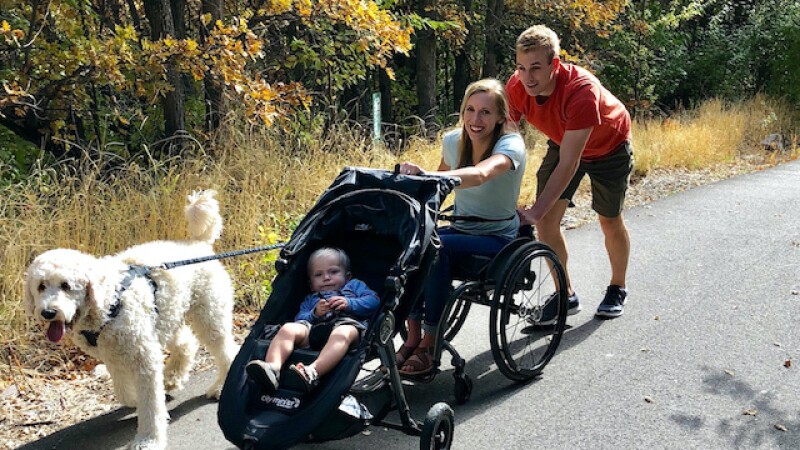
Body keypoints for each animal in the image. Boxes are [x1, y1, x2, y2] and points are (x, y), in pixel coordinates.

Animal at [24, 190, 238, 450]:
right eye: (41, 286)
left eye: (66, 285)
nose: (47, 312)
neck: (106, 302)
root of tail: (199, 244)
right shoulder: (114, 356)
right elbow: (124, 392)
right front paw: (139, 398)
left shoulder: (143, 358)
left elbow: (150, 406)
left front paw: (148, 440)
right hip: (166, 317)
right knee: (187, 343)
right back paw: (172, 378)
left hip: (209, 316)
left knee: (227, 352)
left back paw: (218, 387)